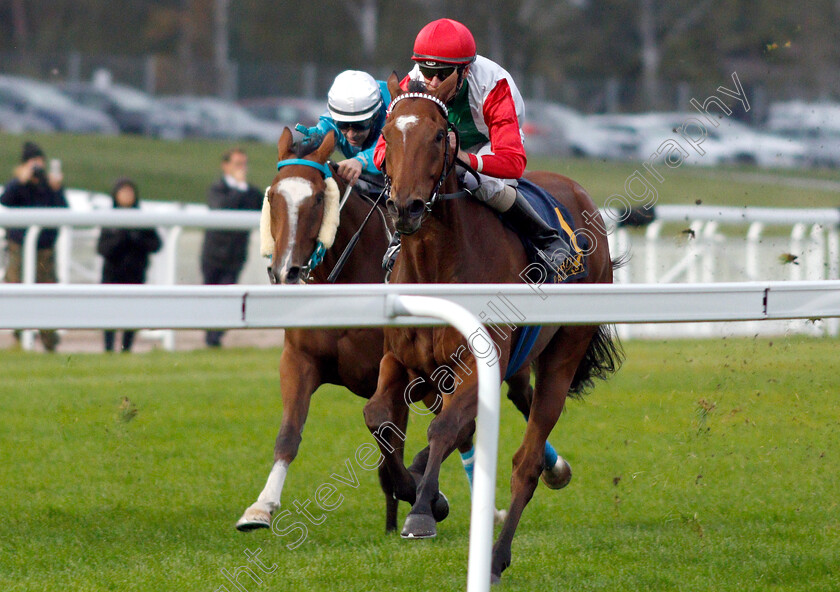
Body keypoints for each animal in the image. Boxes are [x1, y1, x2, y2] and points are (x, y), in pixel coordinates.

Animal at [233, 128, 540, 532]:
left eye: (318, 198)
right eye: (272, 196)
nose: (287, 272)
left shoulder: (410, 375)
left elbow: (398, 439)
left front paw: (426, 499)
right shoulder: (300, 359)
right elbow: (289, 433)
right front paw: (260, 507)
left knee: (511, 403)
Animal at [364, 75, 628, 584]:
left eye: (437, 135)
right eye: (387, 132)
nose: (405, 208)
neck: (435, 265)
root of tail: (578, 191)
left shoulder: (477, 360)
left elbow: (445, 427)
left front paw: (422, 511)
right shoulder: (401, 359)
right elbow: (380, 417)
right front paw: (415, 489)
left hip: (563, 353)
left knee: (525, 461)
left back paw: (496, 556)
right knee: (513, 405)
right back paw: (552, 469)